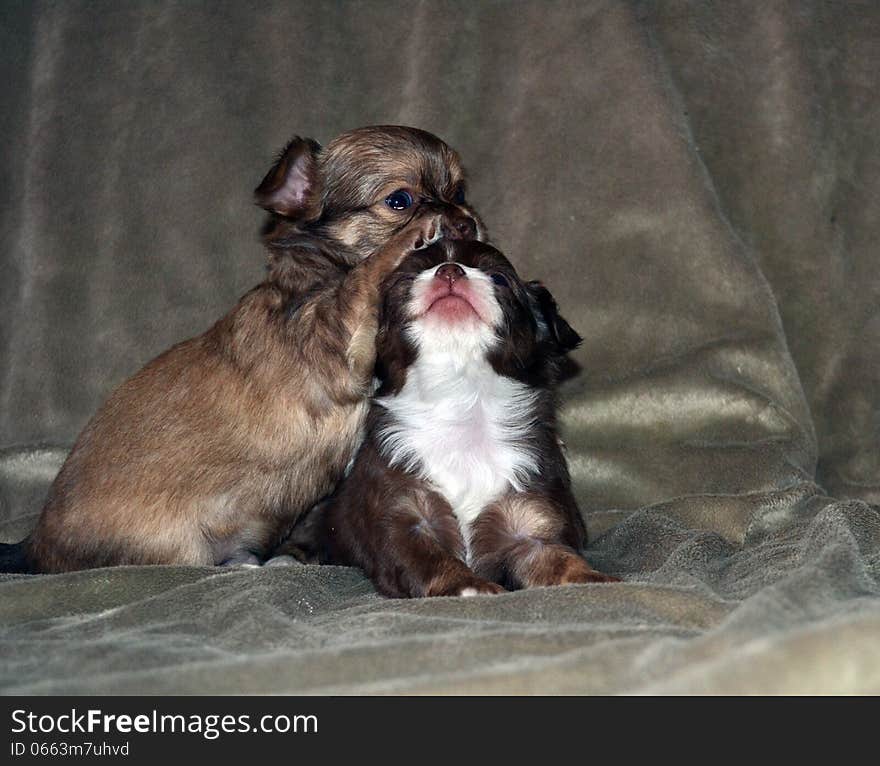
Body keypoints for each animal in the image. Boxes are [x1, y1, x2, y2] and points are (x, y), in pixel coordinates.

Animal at [1, 126, 482, 572]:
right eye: (400, 200)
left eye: (460, 193)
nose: (465, 221)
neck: (315, 273)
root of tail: (34, 546)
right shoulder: (334, 338)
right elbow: (366, 275)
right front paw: (410, 237)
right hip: (176, 547)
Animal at [318, 243, 620, 604]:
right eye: (405, 279)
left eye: (499, 278)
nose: (450, 271)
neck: (461, 401)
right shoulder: (402, 516)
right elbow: (428, 558)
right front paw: (467, 584)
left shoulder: (530, 524)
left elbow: (560, 559)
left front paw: (592, 579)